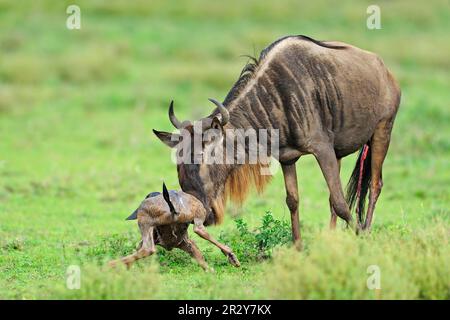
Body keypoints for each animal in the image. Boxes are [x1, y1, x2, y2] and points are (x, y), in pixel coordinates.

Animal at [109, 184, 241, 272]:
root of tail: (174, 206)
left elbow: (139, 249)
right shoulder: (186, 243)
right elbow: (203, 261)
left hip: (144, 217)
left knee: (148, 249)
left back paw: (110, 264)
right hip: (197, 217)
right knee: (200, 231)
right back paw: (233, 258)